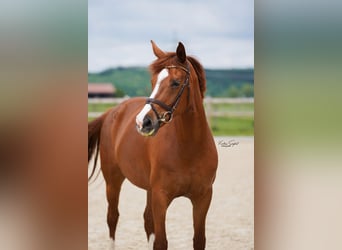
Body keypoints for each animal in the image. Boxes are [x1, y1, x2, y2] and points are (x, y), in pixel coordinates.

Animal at [87, 41, 216, 250]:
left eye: (175, 82)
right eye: (153, 81)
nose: (143, 122)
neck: (189, 148)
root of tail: (111, 112)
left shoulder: (202, 198)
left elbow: (199, 240)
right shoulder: (161, 198)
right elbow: (161, 241)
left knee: (147, 220)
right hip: (113, 180)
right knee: (112, 218)